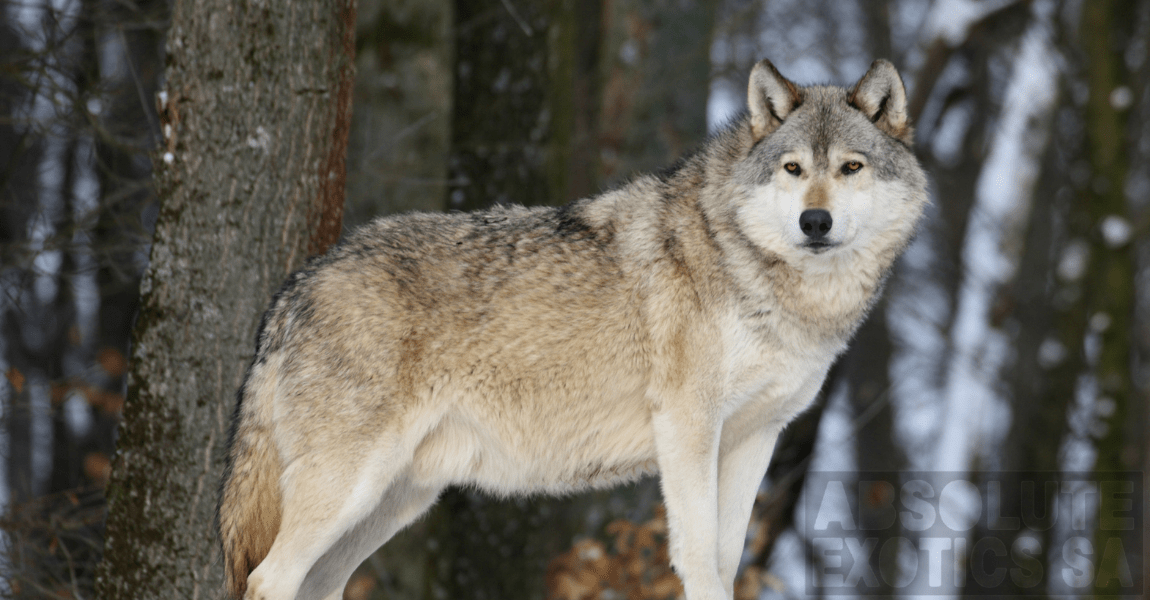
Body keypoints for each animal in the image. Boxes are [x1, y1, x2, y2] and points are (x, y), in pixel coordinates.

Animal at [217, 58, 927, 600]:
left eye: (852, 168)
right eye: (793, 169)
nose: (815, 222)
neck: (760, 275)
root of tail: (294, 288)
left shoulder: (754, 437)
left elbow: (727, 562)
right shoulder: (689, 426)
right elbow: (699, 561)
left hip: (393, 502)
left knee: (313, 584)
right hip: (347, 488)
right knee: (266, 579)